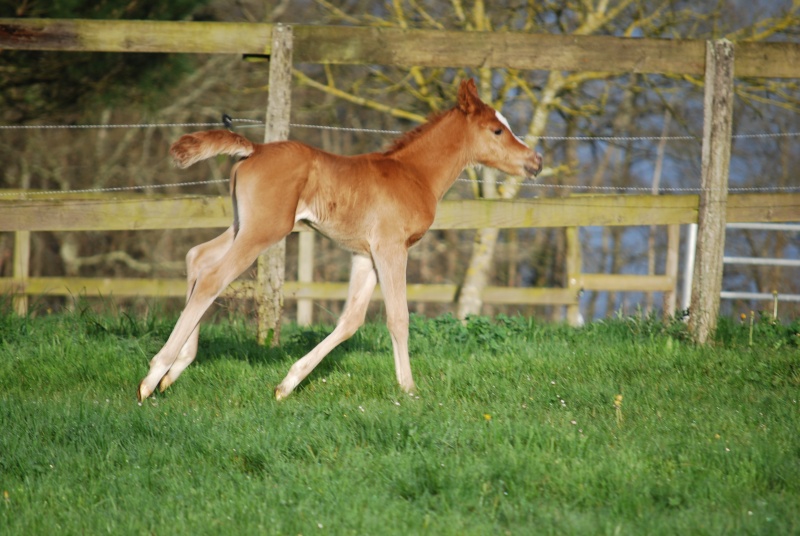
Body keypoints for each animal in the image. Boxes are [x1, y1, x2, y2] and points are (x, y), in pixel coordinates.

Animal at [138, 79, 540, 402]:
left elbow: (351, 320)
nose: (535, 161)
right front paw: (409, 389)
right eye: (497, 130)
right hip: (264, 230)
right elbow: (398, 317)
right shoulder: (391, 248)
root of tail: (255, 148)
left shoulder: (365, 255)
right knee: (212, 278)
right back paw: (154, 375)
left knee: (197, 257)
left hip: (243, 225)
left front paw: (287, 385)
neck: (414, 174)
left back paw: (175, 369)